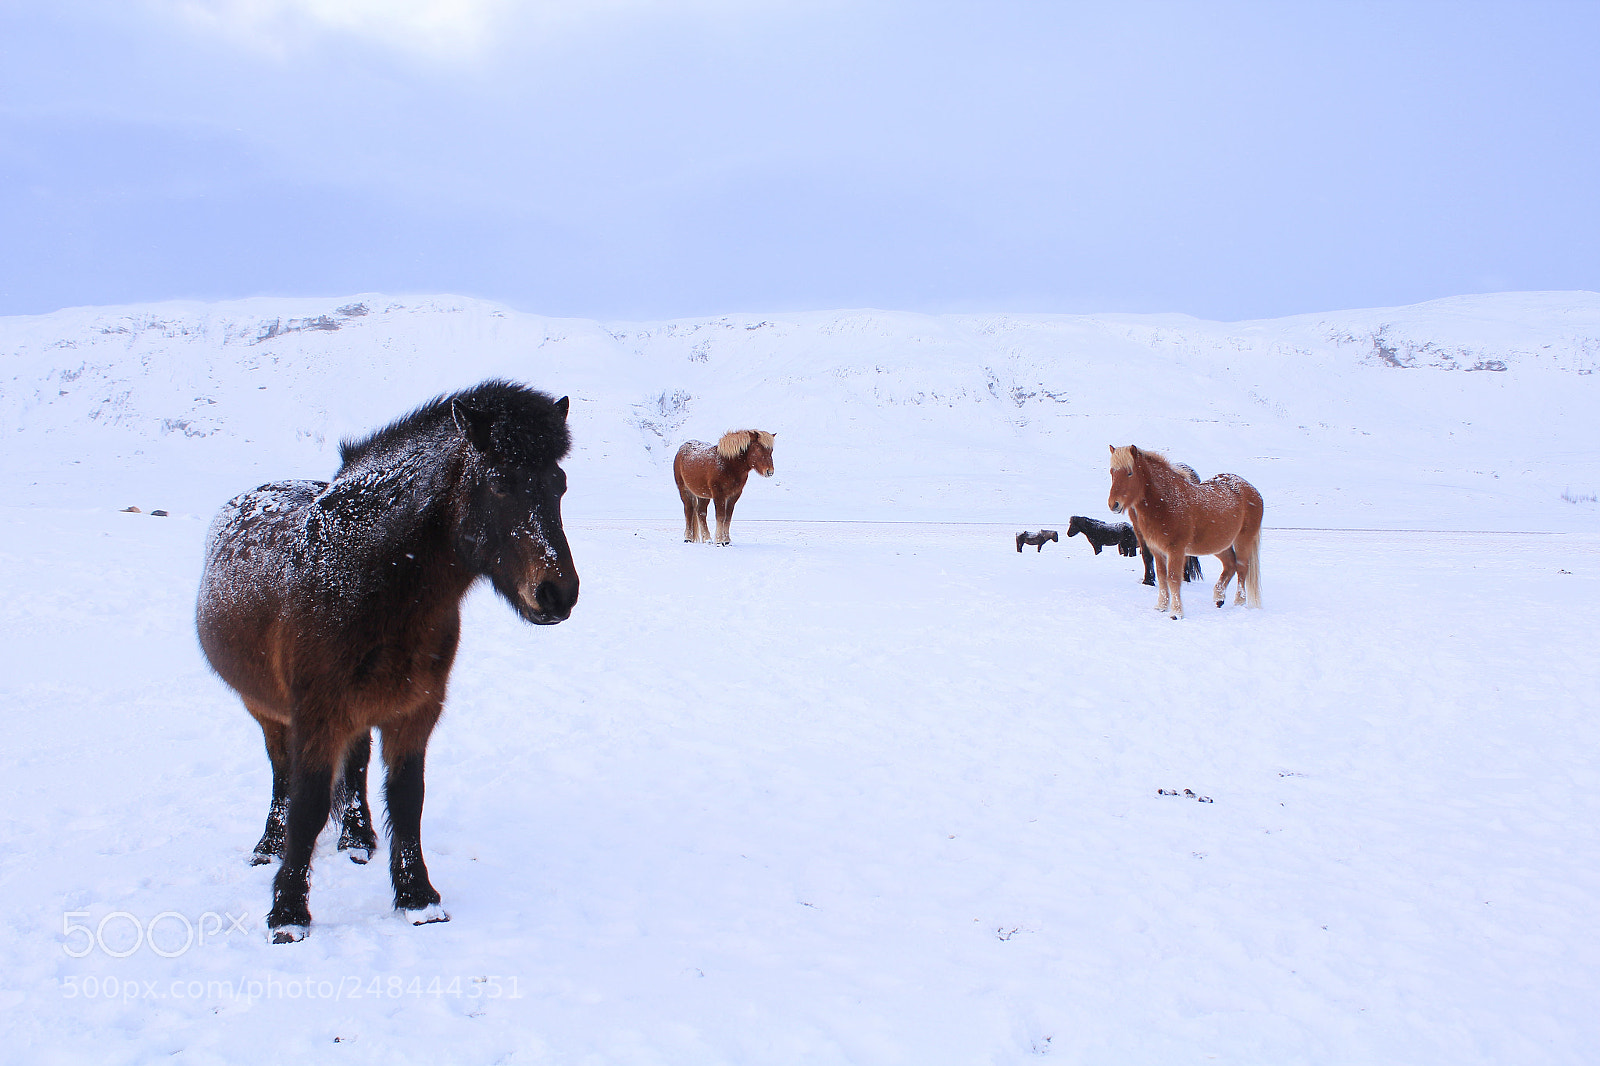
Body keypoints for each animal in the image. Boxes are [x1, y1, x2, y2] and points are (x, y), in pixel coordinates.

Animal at [196, 380, 579, 943]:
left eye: (559, 484)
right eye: (499, 484)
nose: (558, 594)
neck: (366, 578)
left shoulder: (414, 711)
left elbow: (406, 798)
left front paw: (417, 899)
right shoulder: (315, 715)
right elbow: (308, 804)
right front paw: (288, 914)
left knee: (353, 766)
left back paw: (357, 840)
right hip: (266, 709)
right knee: (281, 775)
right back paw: (269, 846)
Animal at [1107, 445, 1262, 619]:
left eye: (1130, 472)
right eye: (1112, 472)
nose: (1114, 504)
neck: (1168, 502)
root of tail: (1251, 490)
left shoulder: (1176, 551)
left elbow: (1173, 579)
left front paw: (1176, 613)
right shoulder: (1157, 551)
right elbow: (1162, 577)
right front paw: (1161, 606)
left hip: (1243, 540)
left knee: (1242, 568)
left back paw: (1238, 603)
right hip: (1219, 545)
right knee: (1230, 565)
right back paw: (1219, 598)